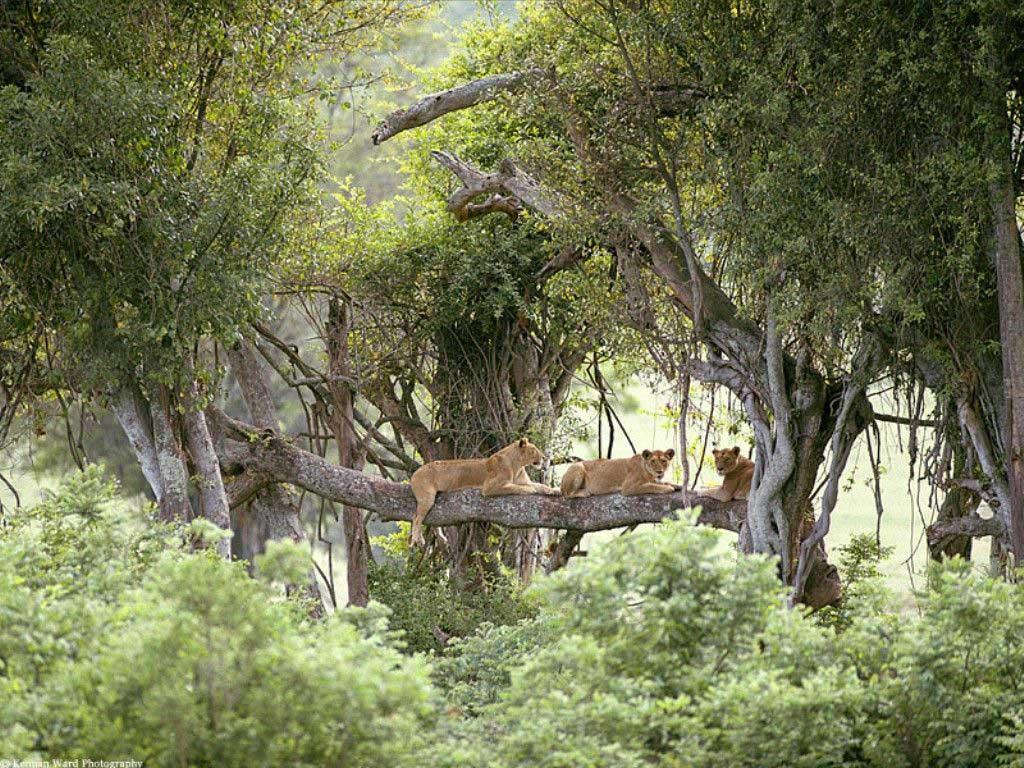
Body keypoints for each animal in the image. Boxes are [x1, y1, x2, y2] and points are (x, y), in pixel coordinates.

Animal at [405, 438, 561, 548]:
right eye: (534, 449)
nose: (544, 458)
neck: (517, 465)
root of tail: (415, 472)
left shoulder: (524, 481)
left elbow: (541, 485)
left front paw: (555, 491)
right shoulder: (490, 487)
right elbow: (516, 487)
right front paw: (530, 490)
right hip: (427, 497)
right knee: (416, 518)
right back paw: (418, 540)